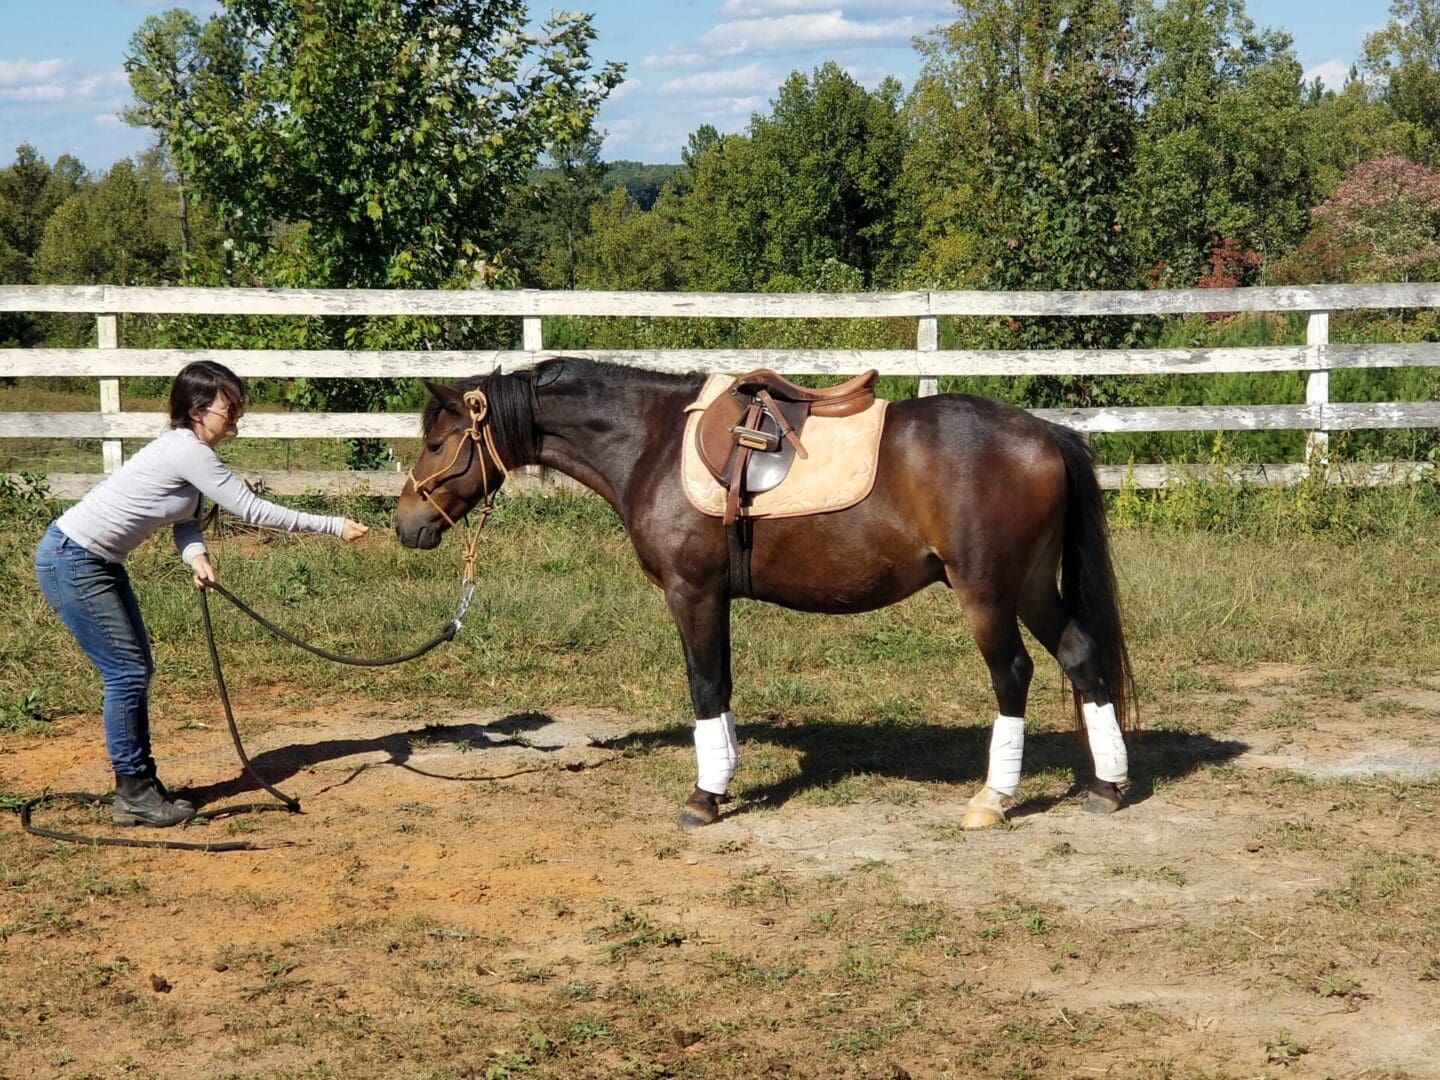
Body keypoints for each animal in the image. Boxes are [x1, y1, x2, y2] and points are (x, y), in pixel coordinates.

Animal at [394, 360, 1134, 835]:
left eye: (435, 442)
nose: (406, 523)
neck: (652, 441)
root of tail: (1046, 433)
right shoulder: (714, 596)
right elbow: (720, 685)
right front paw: (721, 779)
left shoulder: (691, 592)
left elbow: (703, 684)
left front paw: (704, 796)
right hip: (1031, 585)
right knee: (1081, 657)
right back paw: (1108, 786)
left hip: (987, 591)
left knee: (1013, 674)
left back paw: (993, 798)